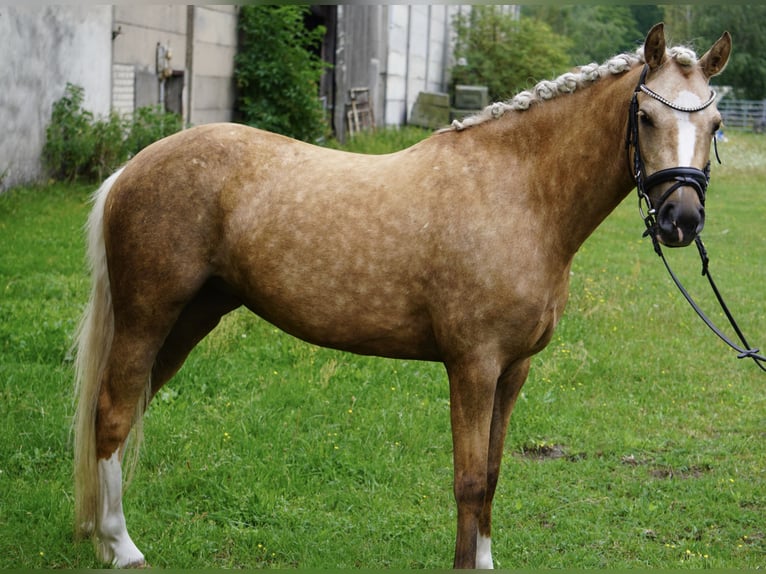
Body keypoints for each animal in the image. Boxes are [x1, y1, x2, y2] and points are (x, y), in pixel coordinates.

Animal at [72, 24, 732, 568]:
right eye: (645, 117)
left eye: (715, 125)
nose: (681, 220)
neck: (519, 194)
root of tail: (131, 168)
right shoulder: (472, 366)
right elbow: (469, 480)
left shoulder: (513, 369)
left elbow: (493, 473)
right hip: (147, 317)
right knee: (112, 412)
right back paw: (123, 548)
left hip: (190, 319)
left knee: (128, 408)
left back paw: (103, 538)